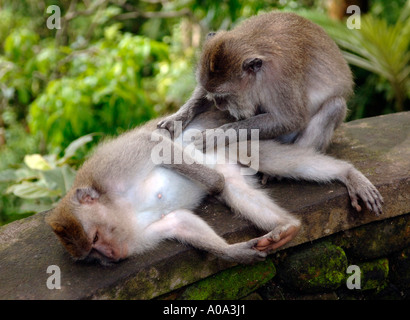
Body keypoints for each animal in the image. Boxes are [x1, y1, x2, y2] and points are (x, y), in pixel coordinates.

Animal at [46, 109, 382, 266]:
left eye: (94, 239)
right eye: (92, 255)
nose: (110, 256)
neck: (118, 208)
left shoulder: (108, 169)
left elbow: (154, 143)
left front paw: (213, 184)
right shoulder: (137, 232)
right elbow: (180, 222)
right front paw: (236, 253)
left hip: (236, 138)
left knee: (274, 162)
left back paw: (347, 173)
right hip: (228, 161)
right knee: (237, 190)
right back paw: (287, 227)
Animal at [157, 11, 352, 152]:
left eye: (223, 97)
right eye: (214, 95)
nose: (218, 105)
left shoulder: (280, 79)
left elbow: (291, 119)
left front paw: (219, 134)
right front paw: (177, 118)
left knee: (335, 105)